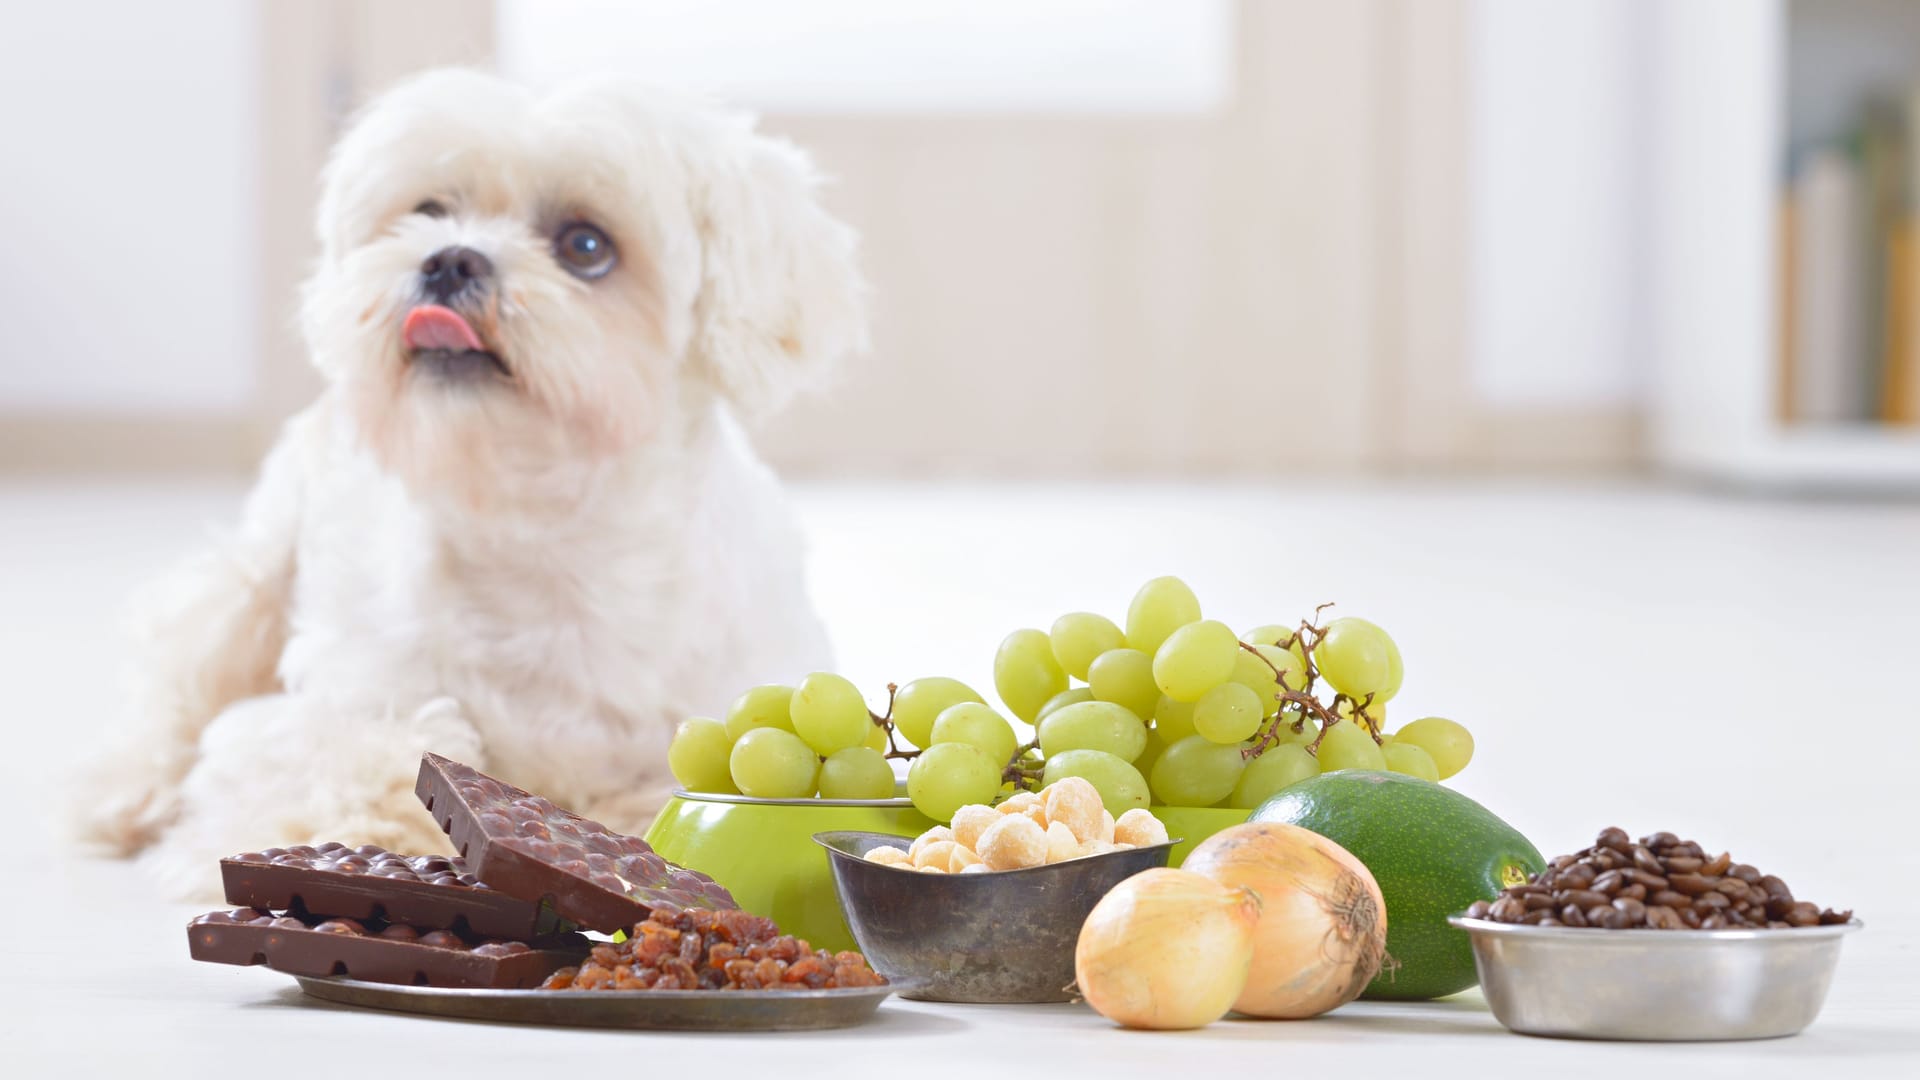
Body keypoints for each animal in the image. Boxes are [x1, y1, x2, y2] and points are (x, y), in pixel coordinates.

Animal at [71, 69, 860, 891]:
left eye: (586, 245)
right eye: (429, 210)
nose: (450, 259)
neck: (537, 535)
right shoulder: (336, 703)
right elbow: (344, 759)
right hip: (250, 586)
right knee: (174, 695)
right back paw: (124, 794)